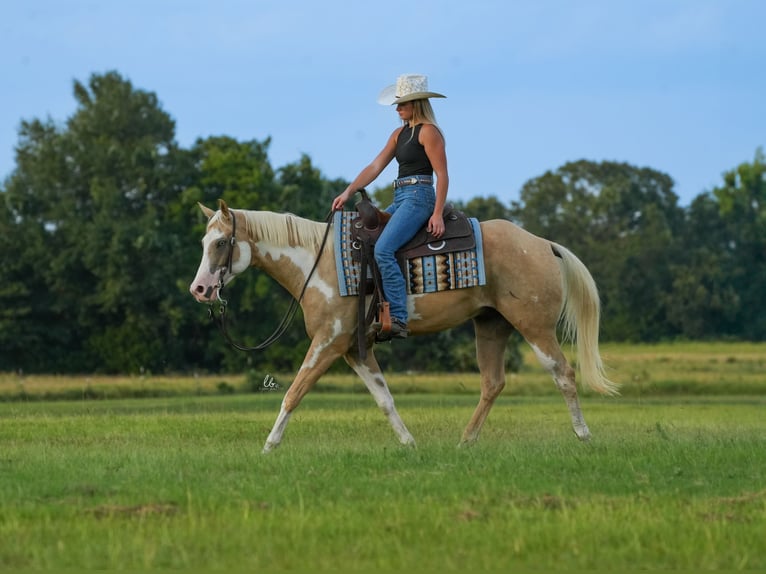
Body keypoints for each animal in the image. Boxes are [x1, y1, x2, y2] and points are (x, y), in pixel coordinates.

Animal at [192, 201, 616, 454]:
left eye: (222, 242)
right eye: (203, 241)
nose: (200, 289)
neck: (319, 264)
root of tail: (543, 243)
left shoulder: (328, 343)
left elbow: (293, 393)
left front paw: (268, 446)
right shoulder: (354, 350)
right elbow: (384, 399)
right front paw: (409, 443)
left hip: (534, 326)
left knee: (563, 374)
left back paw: (583, 435)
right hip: (490, 326)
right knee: (493, 383)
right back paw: (466, 441)